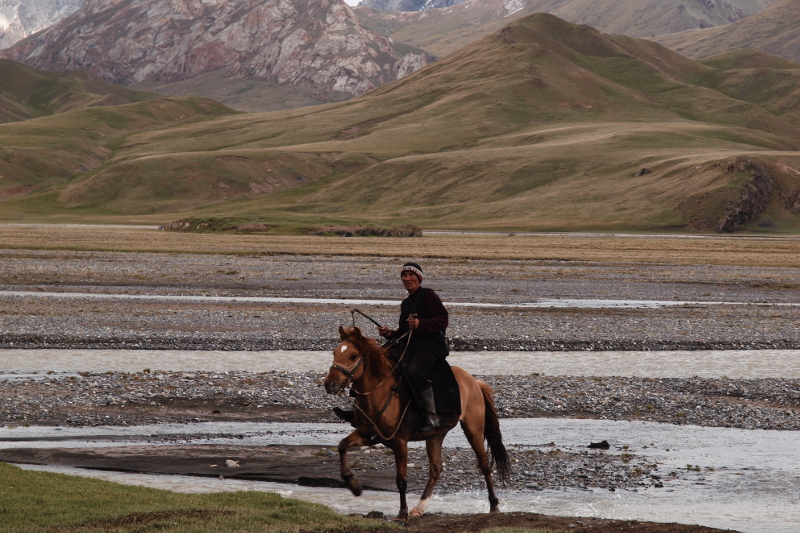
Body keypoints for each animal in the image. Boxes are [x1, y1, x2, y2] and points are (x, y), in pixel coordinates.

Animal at [323, 325, 510, 524]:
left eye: (353, 356)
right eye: (334, 353)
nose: (330, 384)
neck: (379, 393)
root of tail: (474, 381)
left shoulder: (399, 442)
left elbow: (401, 481)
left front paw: (401, 514)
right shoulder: (367, 435)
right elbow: (342, 445)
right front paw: (353, 485)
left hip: (473, 428)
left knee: (484, 464)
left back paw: (494, 505)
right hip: (436, 435)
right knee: (436, 469)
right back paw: (419, 508)